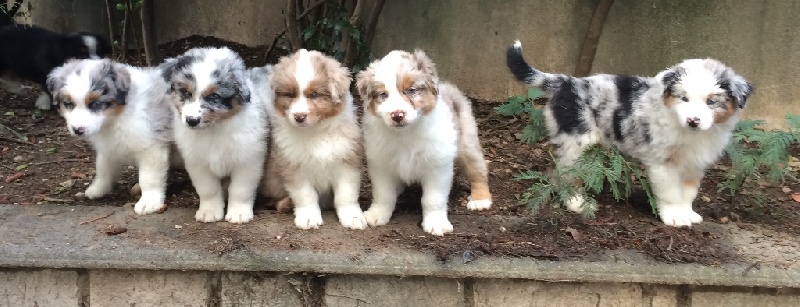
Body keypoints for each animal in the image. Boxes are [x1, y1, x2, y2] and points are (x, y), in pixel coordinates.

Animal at [510, 40, 752, 226]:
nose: (693, 121)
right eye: (683, 98)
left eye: (712, 102)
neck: (687, 131)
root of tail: (566, 82)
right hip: (578, 141)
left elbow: (688, 192)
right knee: (565, 174)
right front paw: (674, 218)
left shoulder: (694, 164)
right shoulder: (662, 163)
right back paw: (575, 203)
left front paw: (688, 214)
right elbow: (671, 193)